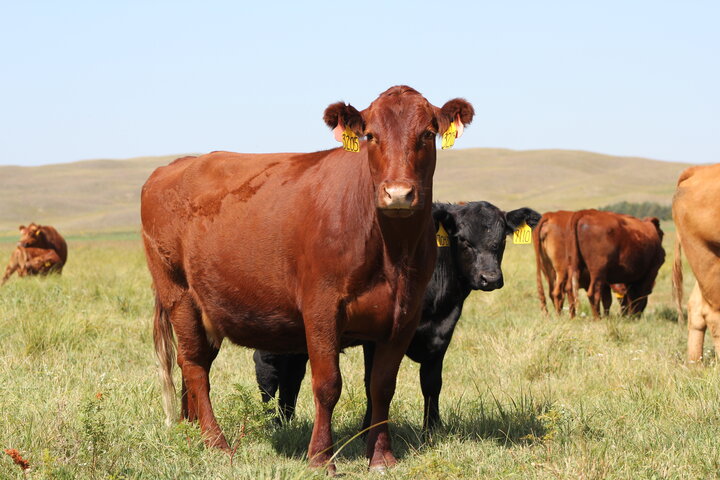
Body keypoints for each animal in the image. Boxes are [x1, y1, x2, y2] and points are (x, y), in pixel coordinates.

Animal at [141, 86, 474, 473]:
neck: (391, 251)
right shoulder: (321, 309)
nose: (398, 194)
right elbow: (327, 385)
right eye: (370, 136)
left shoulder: (403, 315)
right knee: (194, 364)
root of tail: (171, 166)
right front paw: (320, 458)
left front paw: (381, 457)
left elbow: (381, 385)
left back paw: (191, 429)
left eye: (426, 134)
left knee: (195, 364)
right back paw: (217, 443)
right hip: (178, 293)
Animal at [254, 201, 541, 431]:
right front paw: (368, 430)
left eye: (501, 240)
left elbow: (432, 383)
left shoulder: (443, 331)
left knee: (292, 375)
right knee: (267, 370)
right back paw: (269, 422)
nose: (489, 278)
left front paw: (432, 429)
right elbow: (373, 381)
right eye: (462, 239)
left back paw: (285, 421)